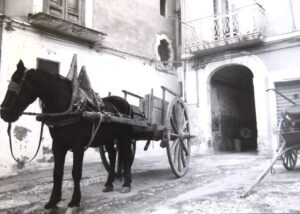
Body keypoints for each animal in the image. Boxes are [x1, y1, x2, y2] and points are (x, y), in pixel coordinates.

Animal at [0, 60, 134, 209]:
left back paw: (126, 183)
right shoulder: (58, 144)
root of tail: (126, 104)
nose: (4, 113)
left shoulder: (78, 146)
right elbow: (57, 173)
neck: (69, 107)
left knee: (127, 156)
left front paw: (75, 200)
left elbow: (76, 172)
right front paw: (53, 200)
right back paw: (109, 183)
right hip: (108, 138)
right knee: (112, 155)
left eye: (18, 83)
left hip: (125, 137)